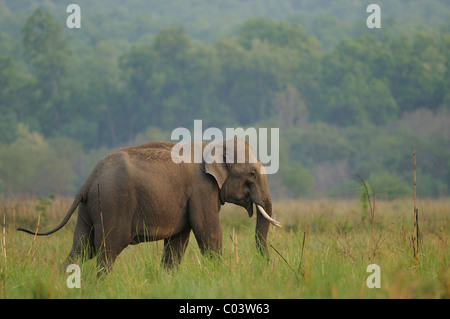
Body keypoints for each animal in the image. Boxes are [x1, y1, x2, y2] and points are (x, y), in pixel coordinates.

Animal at [17, 138, 282, 276]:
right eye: (252, 173)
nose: (269, 267)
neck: (211, 143)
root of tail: (90, 179)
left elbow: (178, 241)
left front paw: (167, 279)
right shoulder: (202, 188)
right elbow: (208, 232)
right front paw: (220, 275)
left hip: (89, 208)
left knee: (82, 249)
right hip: (113, 203)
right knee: (107, 249)